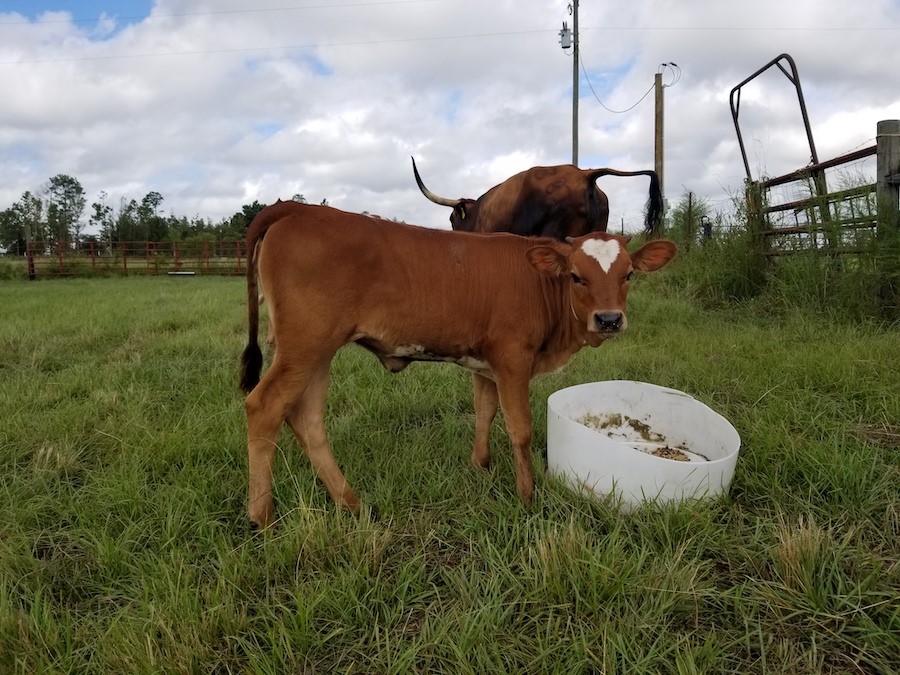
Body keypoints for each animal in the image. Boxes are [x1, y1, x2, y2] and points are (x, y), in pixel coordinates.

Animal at [239, 202, 676, 529]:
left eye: (629, 274)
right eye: (576, 277)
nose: (609, 319)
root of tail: (296, 208)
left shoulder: (485, 365)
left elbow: (484, 412)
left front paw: (480, 467)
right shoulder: (513, 359)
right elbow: (520, 429)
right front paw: (527, 496)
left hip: (316, 352)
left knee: (306, 418)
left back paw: (352, 504)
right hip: (306, 346)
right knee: (265, 408)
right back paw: (262, 516)